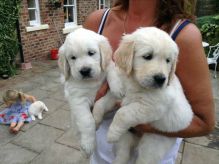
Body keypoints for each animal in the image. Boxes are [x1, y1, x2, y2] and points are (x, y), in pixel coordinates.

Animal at [57, 27, 121, 156]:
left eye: (91, 53)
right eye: (73, 57)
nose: (85, 71)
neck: (91, 81)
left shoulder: (109, 93)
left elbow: (101, 102)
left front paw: (117, 87)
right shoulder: (78, 100)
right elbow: (87, 121)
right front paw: (88, 144)